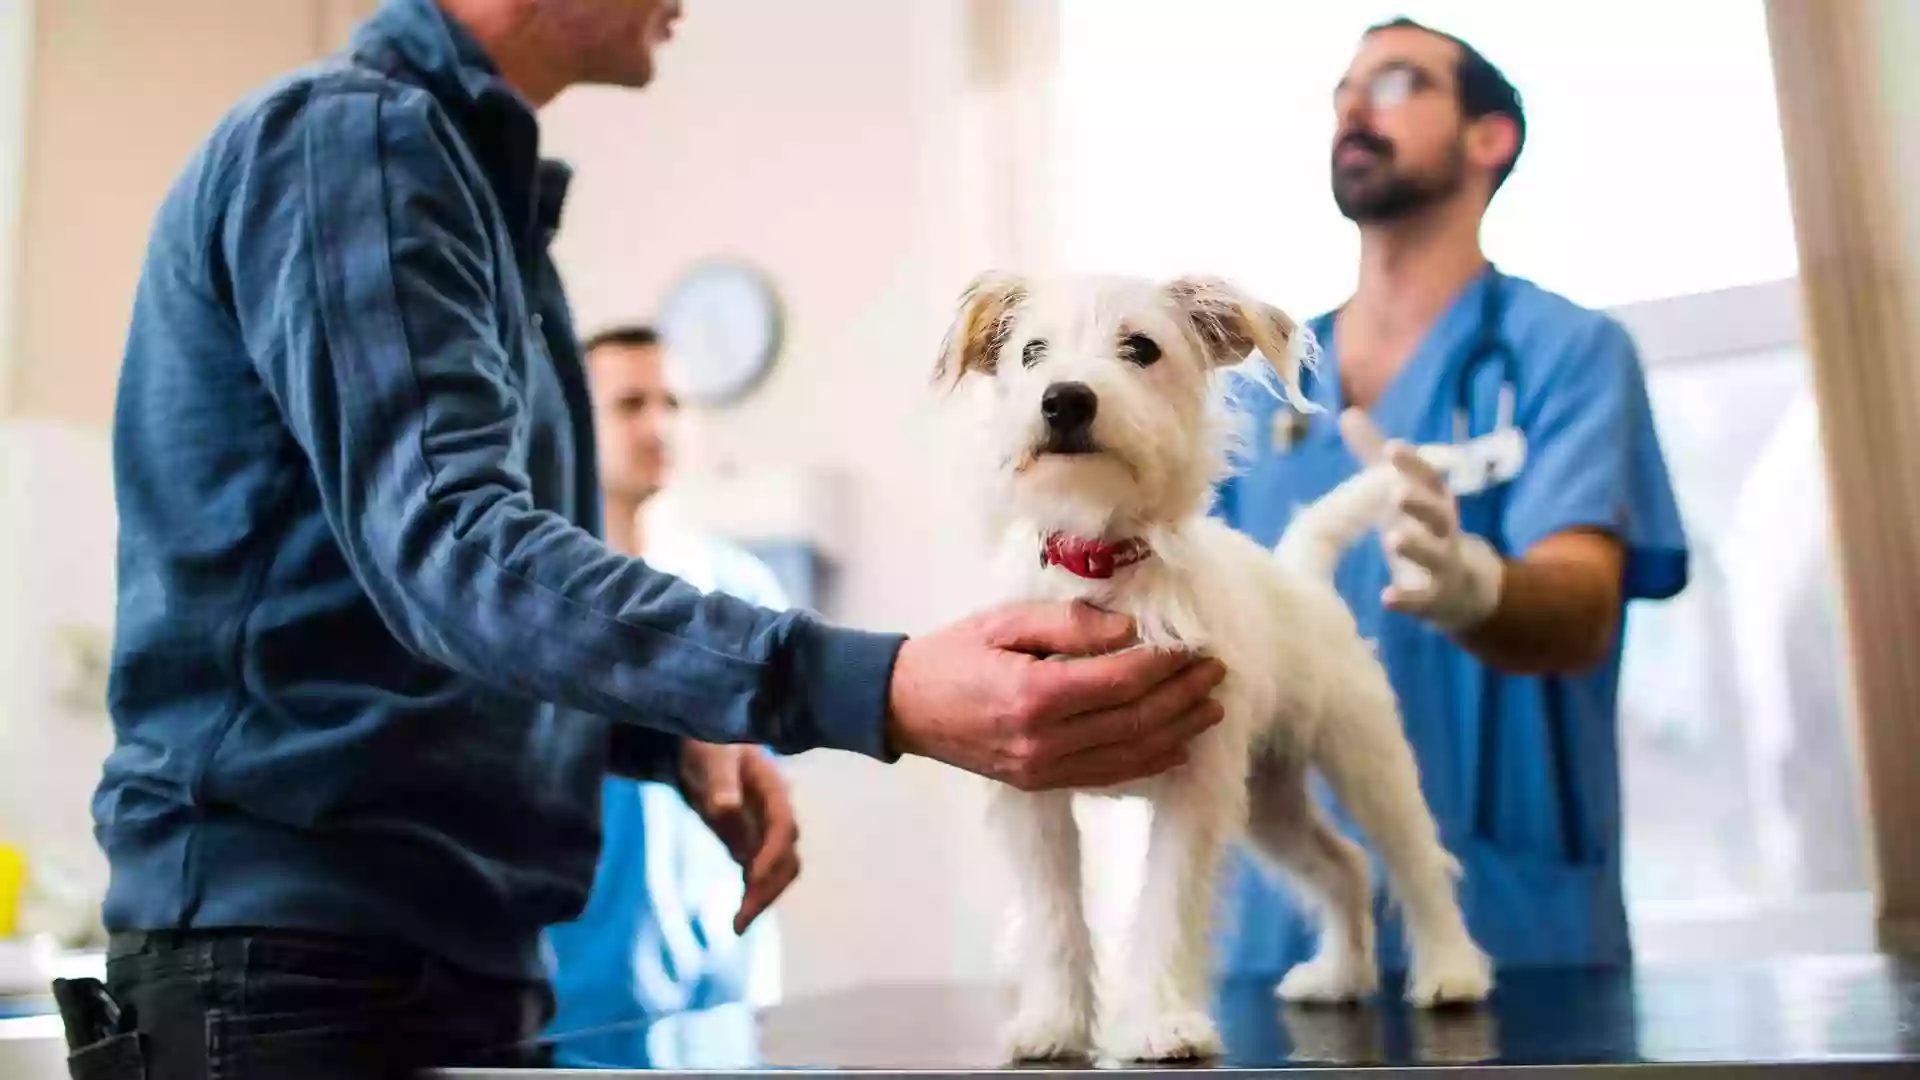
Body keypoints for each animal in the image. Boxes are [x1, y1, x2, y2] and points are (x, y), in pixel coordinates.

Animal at [936, 269, 1489, 1060]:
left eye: (1141, 348)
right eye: (1032, 352)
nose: (1065, 398)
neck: (1102, 565)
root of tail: (1299, 574)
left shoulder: (1194, 790)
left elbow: (1167, 905)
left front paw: (1164, 1023)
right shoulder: (1029, 786)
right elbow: (1053, 917)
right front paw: (1054, 1024)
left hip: (1367, 763)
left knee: (1416, 863)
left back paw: (1450, 972)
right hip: (1270, 799)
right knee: (1344, 866)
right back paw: (1340, 974)